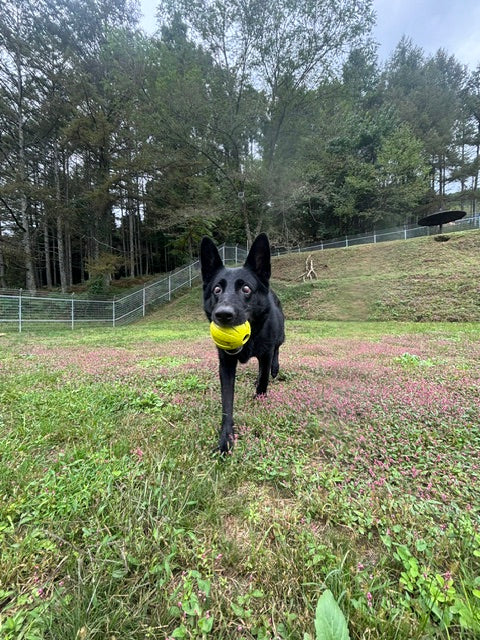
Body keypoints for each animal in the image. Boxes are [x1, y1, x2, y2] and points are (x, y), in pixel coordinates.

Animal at [200, 232, 284, 452]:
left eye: (246, 289)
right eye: (217, 290)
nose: (223, 315)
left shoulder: (266, 352)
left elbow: (263, 378)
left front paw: (260, 398)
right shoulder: (226, 363)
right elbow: (227, 401)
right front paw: (226, 439)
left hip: (281, 335)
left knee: (277, 351)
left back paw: (275, 368)